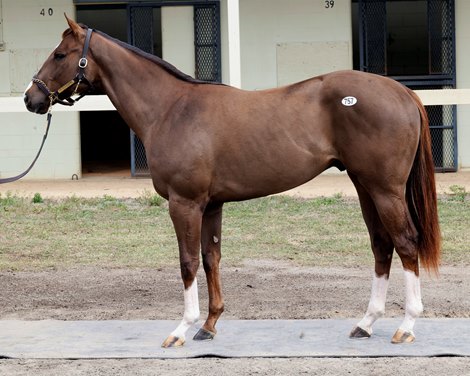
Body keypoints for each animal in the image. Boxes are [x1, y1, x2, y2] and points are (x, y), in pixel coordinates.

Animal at [23, 16, 438, 346]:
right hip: (364, 186)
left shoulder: (185, 203)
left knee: (405, 242)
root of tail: (401, 91)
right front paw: (208, 326)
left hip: (385, 190)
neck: (171, 109)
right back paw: (366, 324)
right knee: (382, 246)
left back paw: (406, 326)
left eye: (60, 54)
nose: (31, 98)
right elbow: (211, 259)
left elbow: (188, 262)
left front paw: (182, 329)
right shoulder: (211, 205)